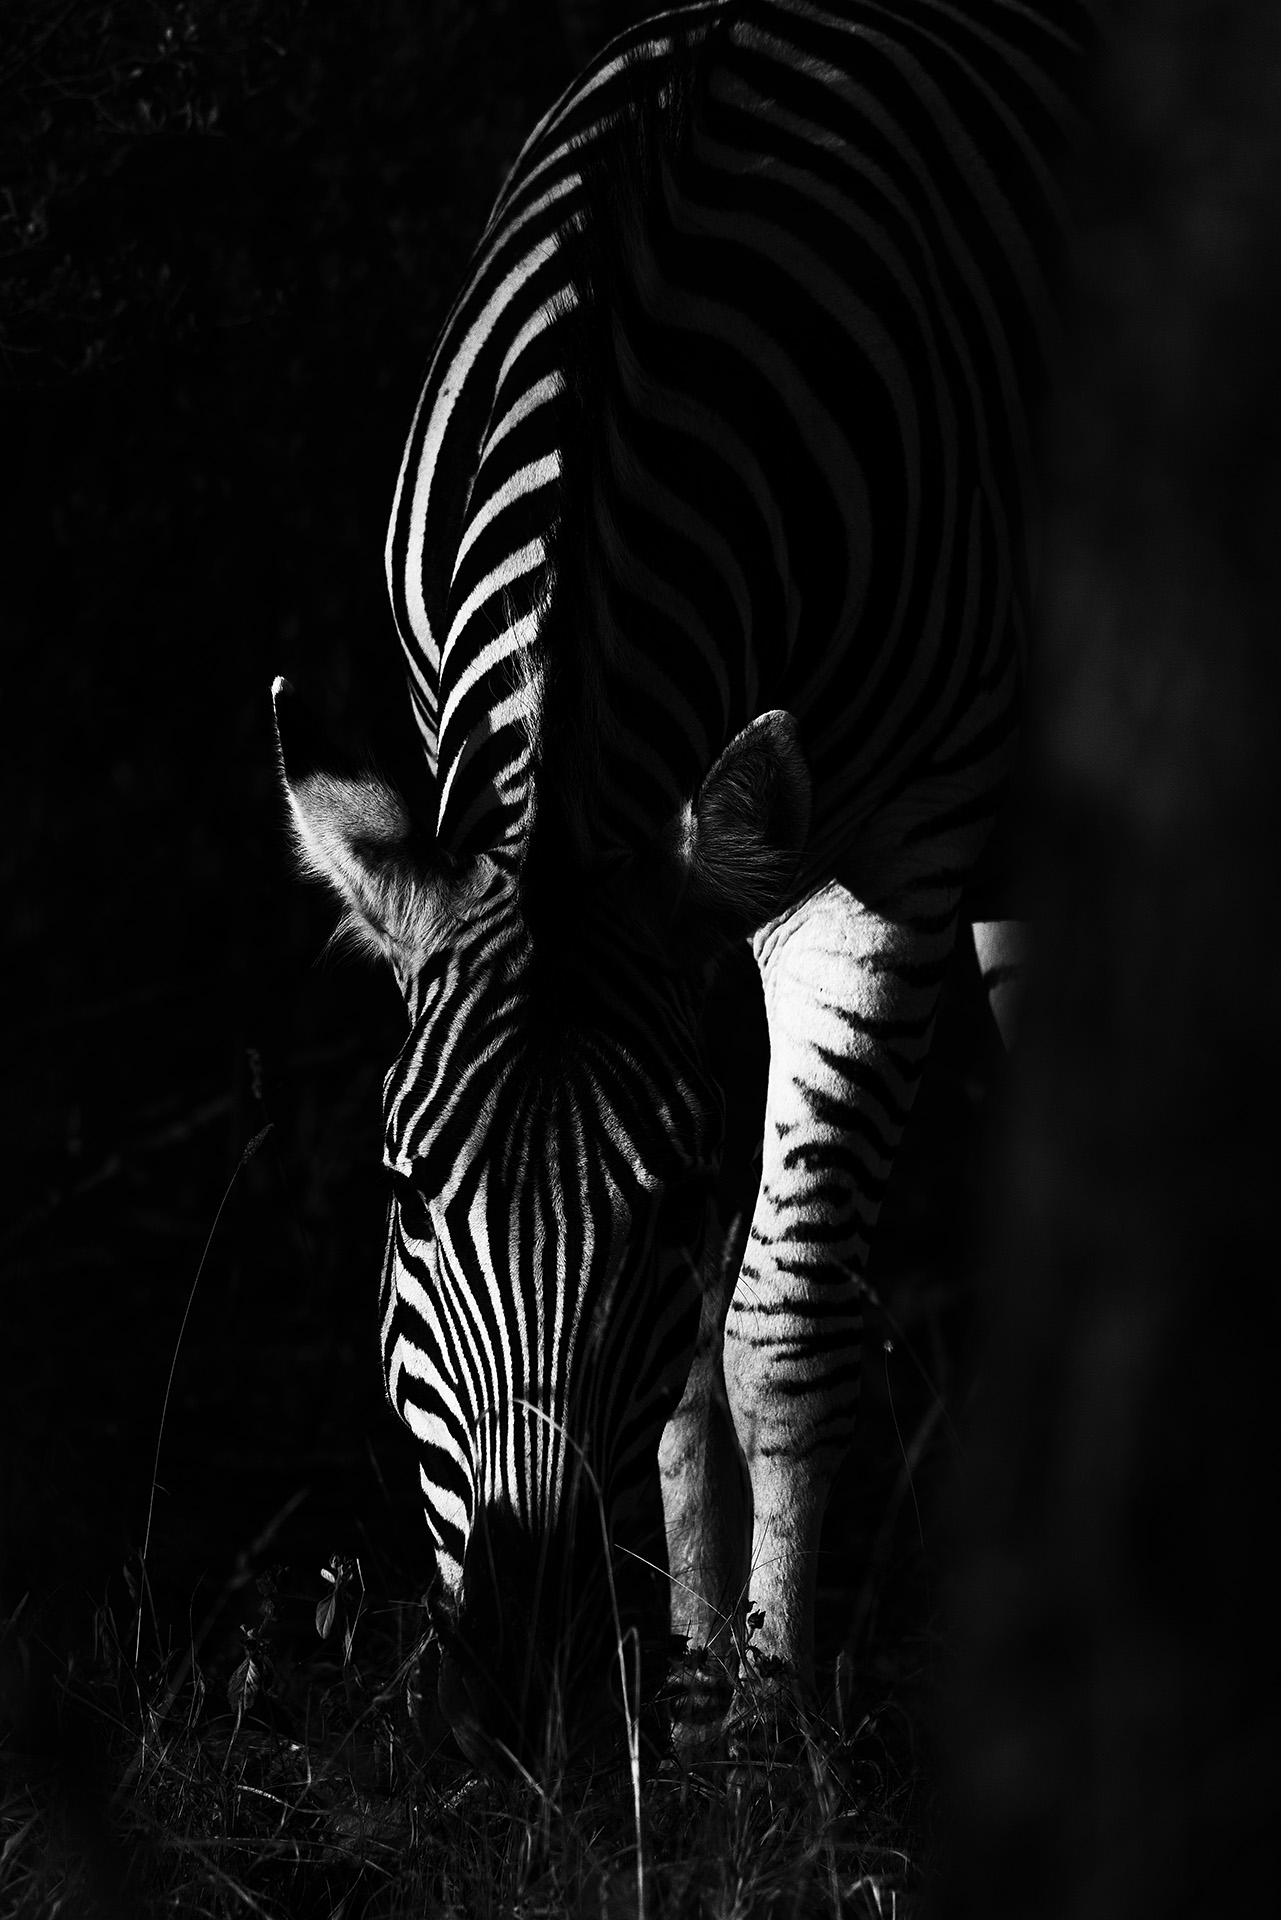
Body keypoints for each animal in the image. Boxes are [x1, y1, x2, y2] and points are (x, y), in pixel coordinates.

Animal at [273, 0, 1090, 1769]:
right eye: (403, 1197)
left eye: (648, 1207)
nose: (508, 1699)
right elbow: (681, 1379)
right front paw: (700, 1676)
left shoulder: (883, 865)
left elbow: (769, 1322)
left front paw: (766, 1741)